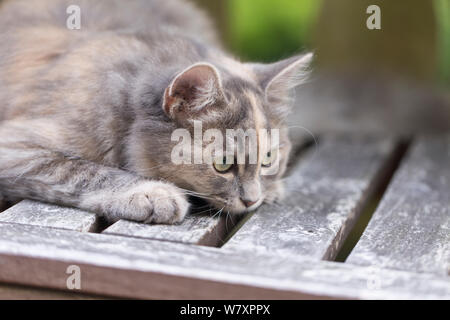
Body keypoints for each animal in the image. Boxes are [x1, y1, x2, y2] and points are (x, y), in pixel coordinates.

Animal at [0, 0, 310, 224]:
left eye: (269, 158)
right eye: (222, 164)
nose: (251, 201)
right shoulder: (15, 146)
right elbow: (83, 170)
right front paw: (152, 194)